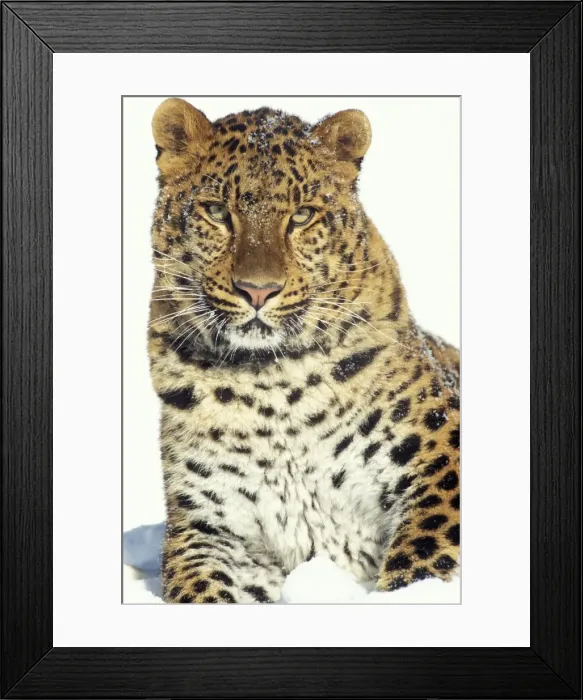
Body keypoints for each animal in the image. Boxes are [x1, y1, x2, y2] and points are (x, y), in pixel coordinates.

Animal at [147, 98, 460, 603]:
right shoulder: (208, 527)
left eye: (301, 216)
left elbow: (426, 553)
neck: (273, 386)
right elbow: (200, 590)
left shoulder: (441, 450)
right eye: (216, 211)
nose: (257, 290)